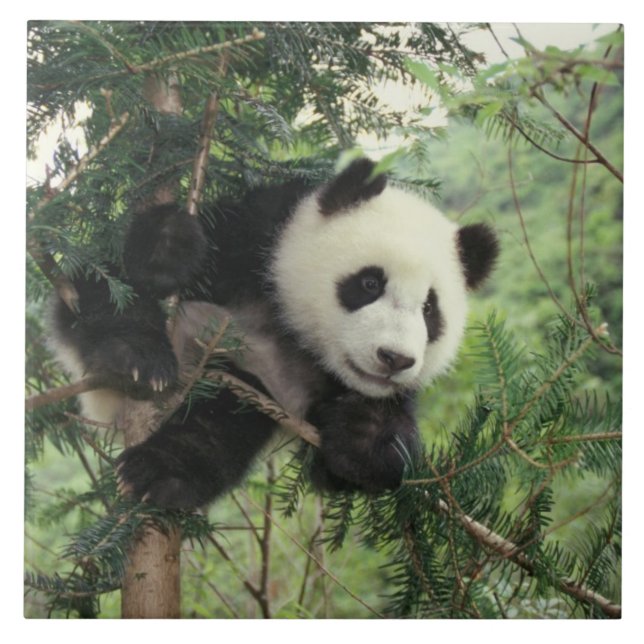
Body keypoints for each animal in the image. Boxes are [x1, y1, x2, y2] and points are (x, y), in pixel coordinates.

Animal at [50, 157, 498, 508]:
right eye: (370, 284)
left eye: (429, 310)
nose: (394, 359)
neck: (291, 328)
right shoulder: (255, 238)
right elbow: (120, 274)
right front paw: (168, 249)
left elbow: (351, 462)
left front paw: (364, 435)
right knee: (103, 292)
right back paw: (135, 363)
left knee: (225, 416)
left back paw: (162, 473)